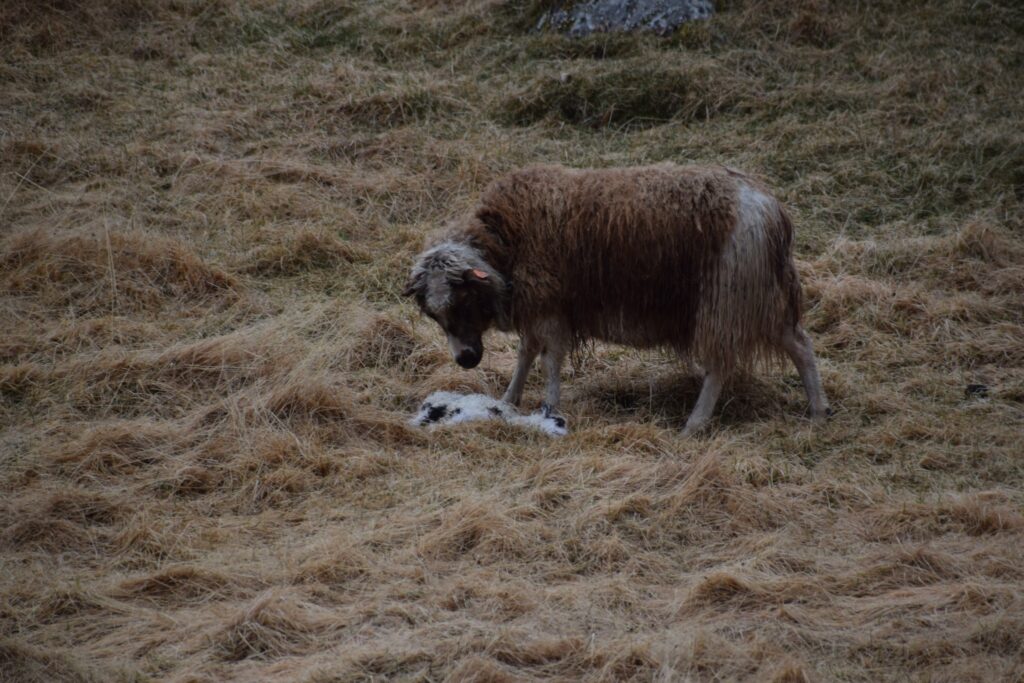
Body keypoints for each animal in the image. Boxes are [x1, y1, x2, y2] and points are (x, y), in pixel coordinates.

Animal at [403, 162, 827, 436]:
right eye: (433, 315)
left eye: (462, 301)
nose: (465, 360)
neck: (505, 241)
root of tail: (773, 211)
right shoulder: (536, 307)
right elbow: (525, 355)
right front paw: (510, 398)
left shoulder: (551, 308)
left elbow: (549, 361)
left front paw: (550, 408)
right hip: (764, 299)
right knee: (801, 345)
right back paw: (818, 411)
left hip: (727, 299)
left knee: (722, 365)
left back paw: (694, 424)